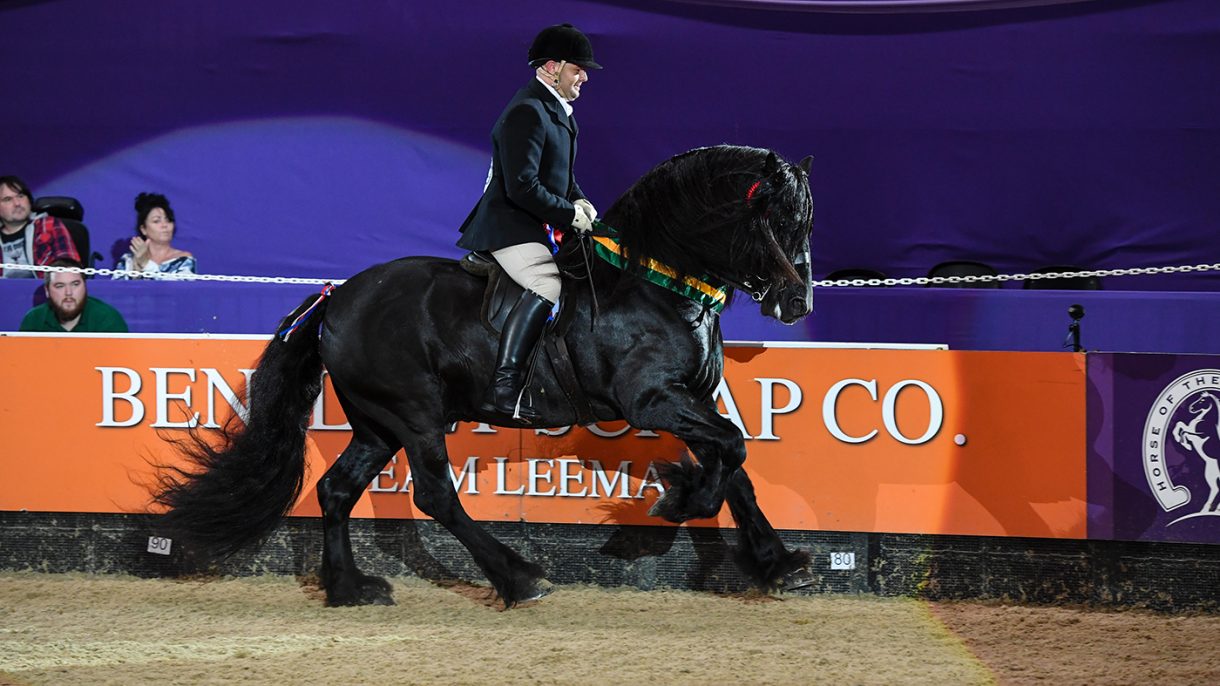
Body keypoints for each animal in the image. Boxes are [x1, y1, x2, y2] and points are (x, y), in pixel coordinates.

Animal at [153, 145, 816, 607]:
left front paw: (777, 562)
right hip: (415, 413)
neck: (657, 283)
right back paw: (519, 578)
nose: (797, 304)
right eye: (775, 221)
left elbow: (735, 464)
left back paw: (349, 588)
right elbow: (730, 450)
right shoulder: (651, 400)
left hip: (377, 422)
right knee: (435, 495)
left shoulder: (690, 397)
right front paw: (679, 503)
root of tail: (338, 297)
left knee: (337, 489)